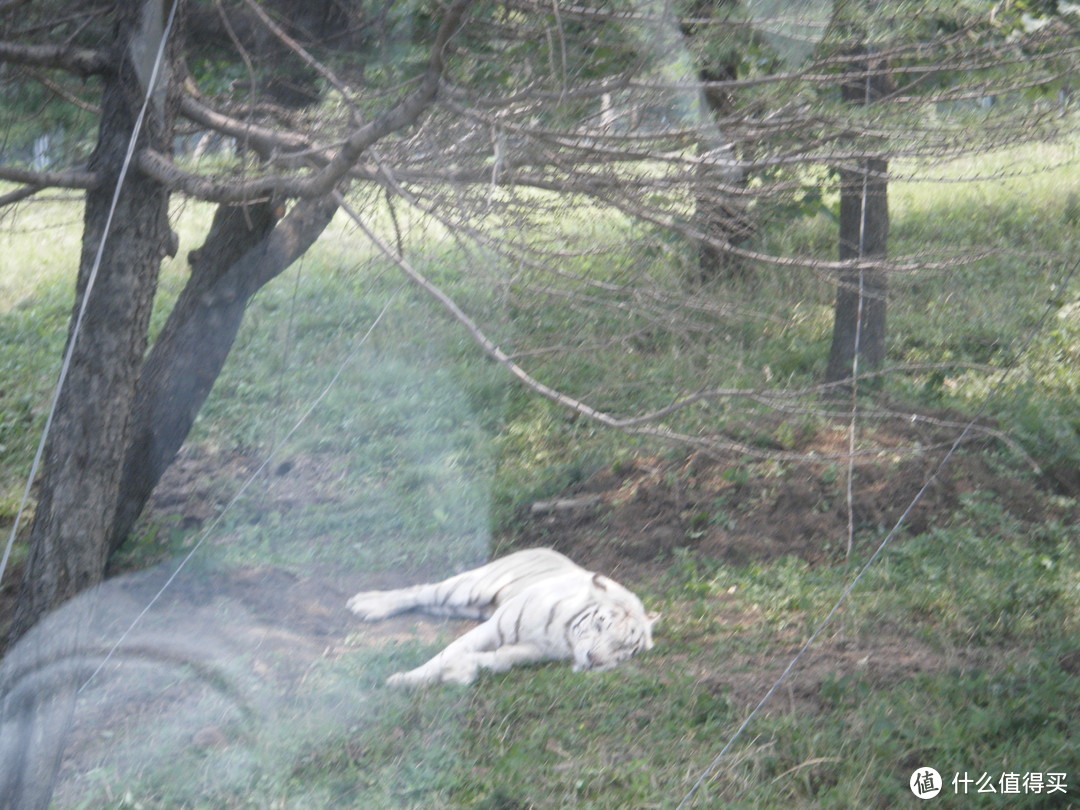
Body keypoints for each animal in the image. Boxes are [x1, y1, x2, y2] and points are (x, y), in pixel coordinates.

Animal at [345, 548, 656, 686]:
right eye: (600, 625)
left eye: (624, 647)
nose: (594, 659)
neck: (564, 637)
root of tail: (542, 548)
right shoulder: (493, 628)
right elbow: (447, 653)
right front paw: (404, 680)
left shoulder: (533, 650)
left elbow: (498, 660)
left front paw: (460, 671)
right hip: (468, 589)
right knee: (421, 592)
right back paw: (367, 605)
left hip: (467, 606)